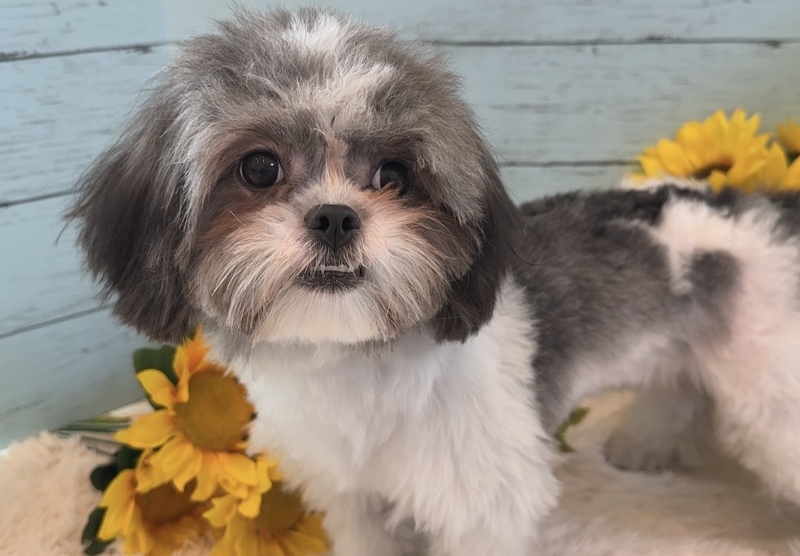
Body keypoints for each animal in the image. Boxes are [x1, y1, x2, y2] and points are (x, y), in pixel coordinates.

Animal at [70, 8, 800, 555]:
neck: (358, 362)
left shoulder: (485, 501)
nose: (335, 216)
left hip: (771, 388)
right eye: (258, 168)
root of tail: (753, 205)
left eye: (394, 175)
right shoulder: (354, 496)